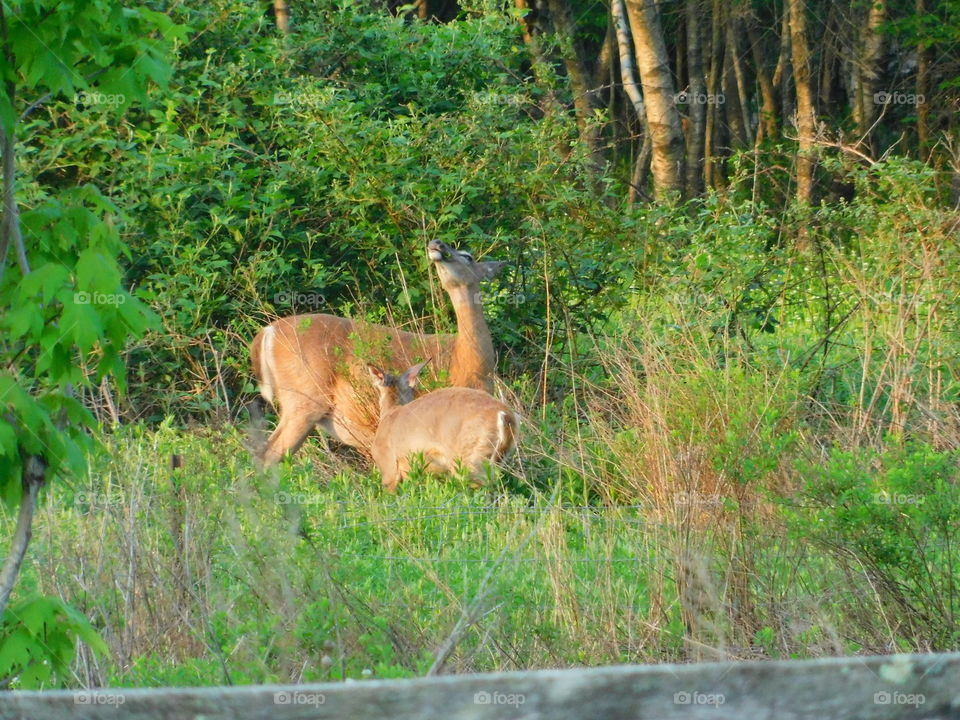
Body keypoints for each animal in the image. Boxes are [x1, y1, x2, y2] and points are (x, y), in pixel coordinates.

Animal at [250, 240, 507, 466]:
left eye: (468, 256)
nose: (437, 243)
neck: (466, 361)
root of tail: (267, 332)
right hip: (303, 398)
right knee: (270, 453)